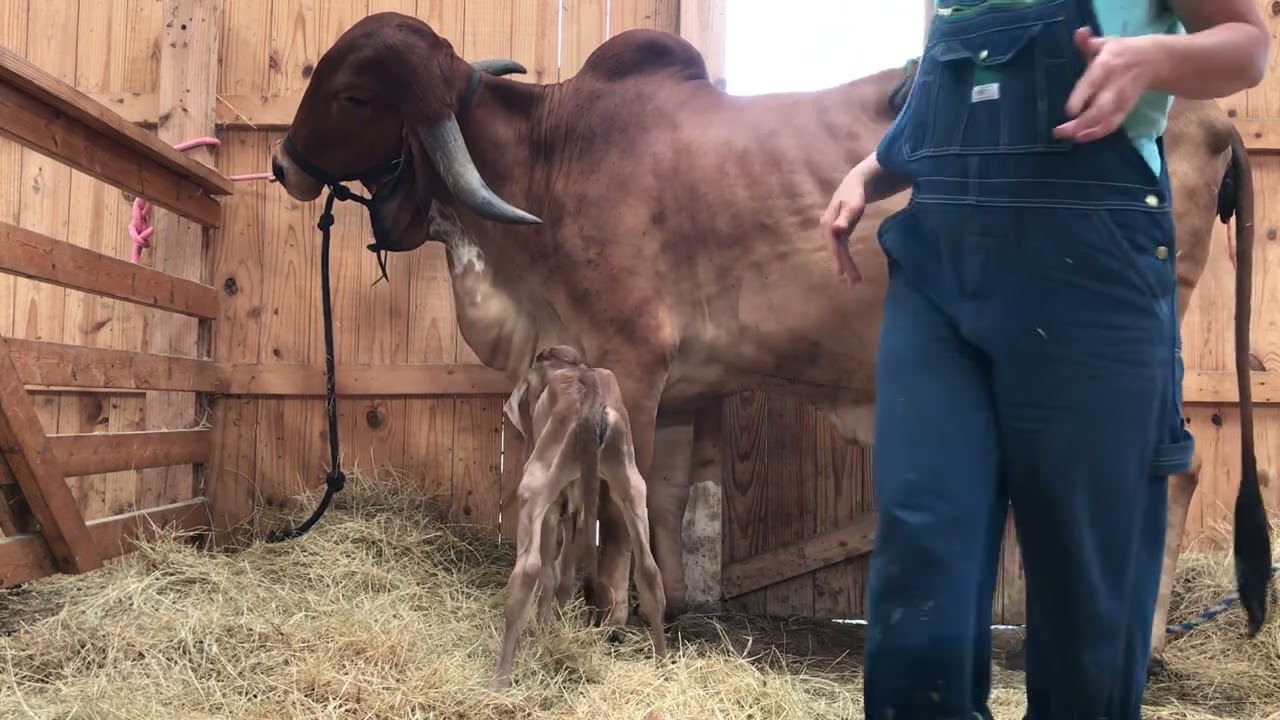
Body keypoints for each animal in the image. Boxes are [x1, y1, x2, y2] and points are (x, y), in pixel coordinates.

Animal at [495, 344, 667, 691]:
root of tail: (591, 399)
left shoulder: (554, 506)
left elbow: (550, 572)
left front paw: (545, 631)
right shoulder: (576, 504)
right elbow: (564, 575)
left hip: (536, 485)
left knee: (529, 570)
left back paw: (500, 679)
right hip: (629, 480)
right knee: (649, 570)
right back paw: (664, 669)